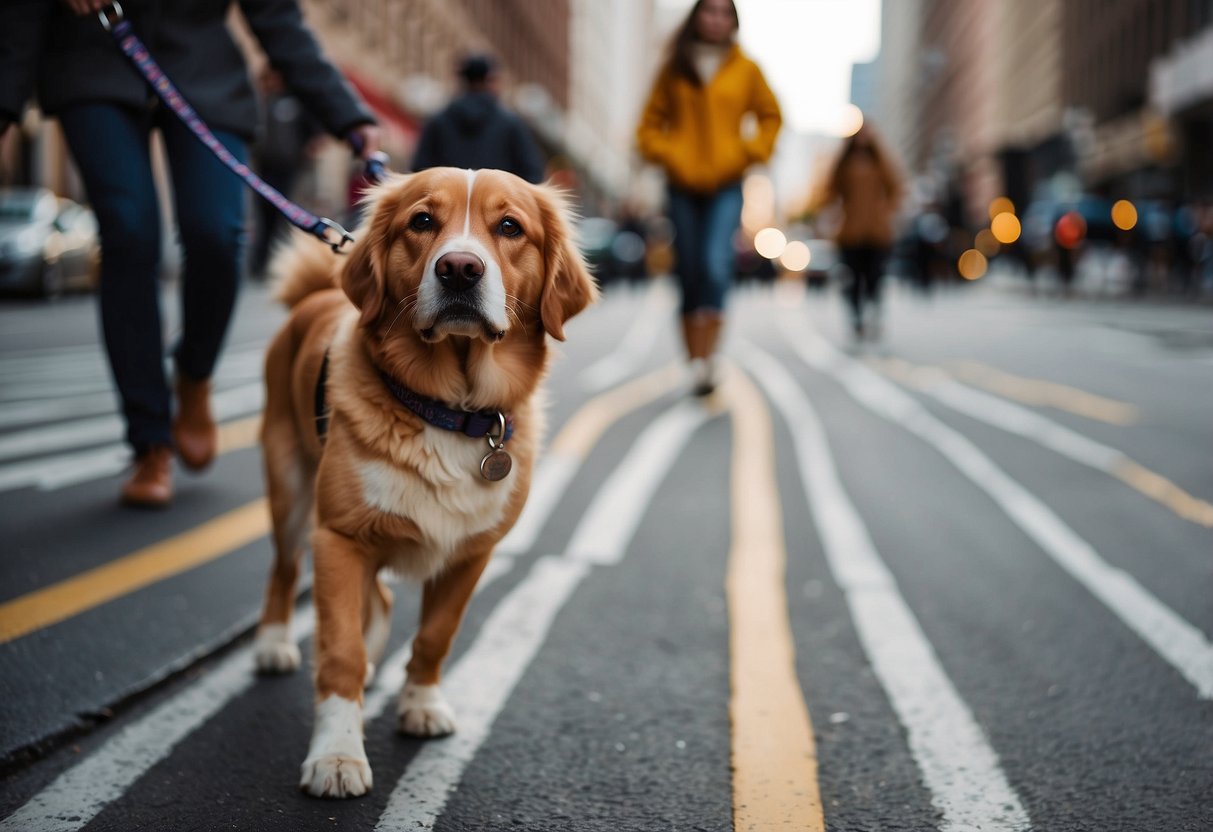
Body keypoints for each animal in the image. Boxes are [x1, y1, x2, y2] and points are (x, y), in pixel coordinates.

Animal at [249, 167, 596, 800]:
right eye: (422, 221)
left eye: (510, 228)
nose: (459, 268)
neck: (448, 410)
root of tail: (314, 296)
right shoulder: (338, 539)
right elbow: (338, 650)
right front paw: (337, 753)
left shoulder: (471, 553)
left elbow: (436, 635)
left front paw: (421, 704)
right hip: (288, 492)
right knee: (284, 570)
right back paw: (274, 644)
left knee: (378, 601)